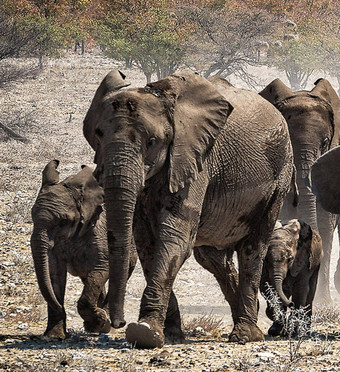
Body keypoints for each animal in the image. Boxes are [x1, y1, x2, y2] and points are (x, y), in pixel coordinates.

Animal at [30, 160, 137, 340]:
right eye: (31, 216)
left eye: (63, 222)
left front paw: (100, 321)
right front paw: (54, 336)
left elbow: (102, 268)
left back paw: (105, 322)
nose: (61, 308)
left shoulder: (99, 231)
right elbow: (54, 274)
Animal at [83, 68, 294, 348]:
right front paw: (169, 333)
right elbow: (147, 244)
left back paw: (244, 335)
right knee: (212, 258)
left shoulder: (196, 159)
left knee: (253, 248)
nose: (116, 323)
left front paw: (144, 333)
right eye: (98, 134)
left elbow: (174, 239)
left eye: (152, 142)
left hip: (280, 176)